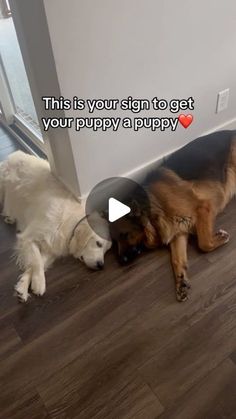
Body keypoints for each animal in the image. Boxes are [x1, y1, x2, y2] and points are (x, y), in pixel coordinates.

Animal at [0, 151, 111, 302]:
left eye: (107, 250)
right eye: (98, 244)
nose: (101, 265)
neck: (70, 224)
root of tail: (14, 154)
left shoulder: (51, 248)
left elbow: (37, 262)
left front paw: (22, 287)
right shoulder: (28, 237)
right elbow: (37, 261)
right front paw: (39, 283)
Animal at [110, 131, 236, 302]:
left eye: (124, 235)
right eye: (114, 242)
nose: (121, 262)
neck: (153, 212)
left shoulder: (203, 208)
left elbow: (204, 243)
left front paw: (220, 237)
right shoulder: (179, 232)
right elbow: (176, 260)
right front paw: (181, 282)